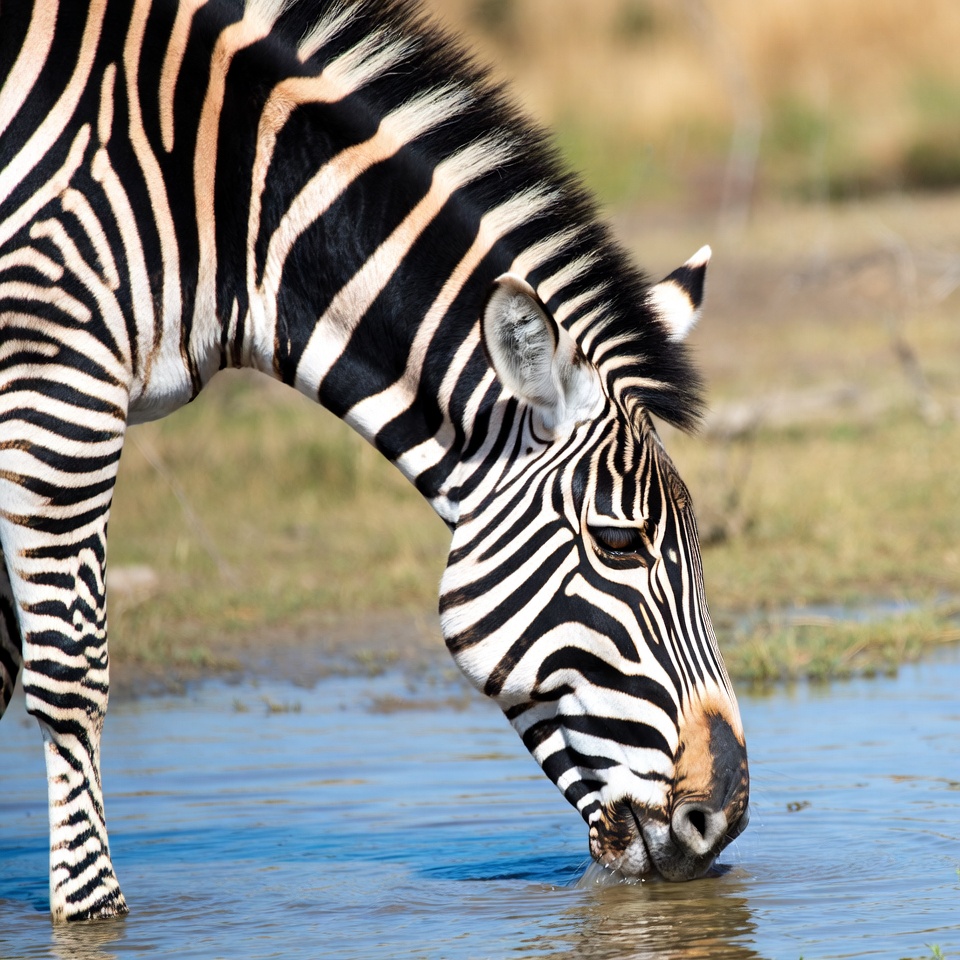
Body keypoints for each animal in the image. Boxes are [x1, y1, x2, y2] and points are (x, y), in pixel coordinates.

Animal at [0, 0, 750, 922]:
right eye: (618, 542)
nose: (722, 819)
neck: (210, 194)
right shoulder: (58, 377)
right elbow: (69, 672)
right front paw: (91, 913)